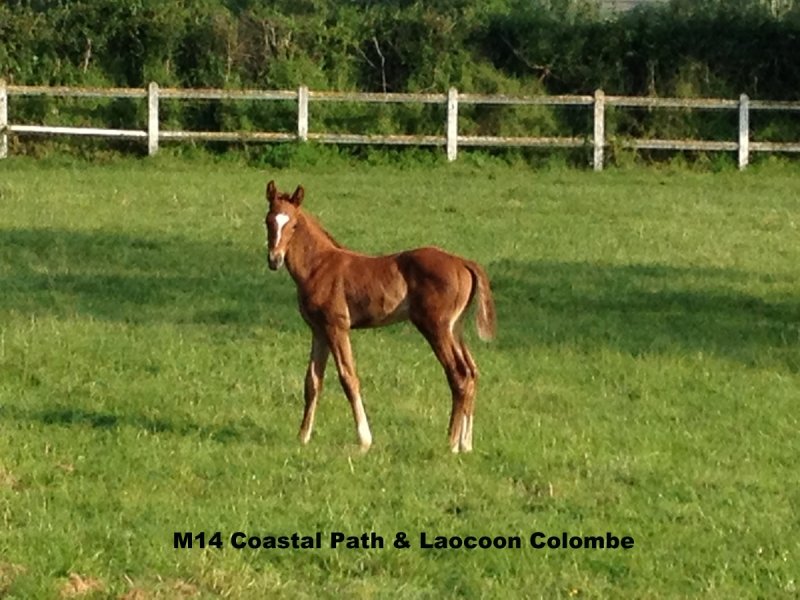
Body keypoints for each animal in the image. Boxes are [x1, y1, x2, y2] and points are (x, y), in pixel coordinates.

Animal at [263, 180, 496, 453]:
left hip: (436, 327)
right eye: (268, 221)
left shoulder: (336, 326)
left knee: (458, 374)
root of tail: (463, 262)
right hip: (454, 328)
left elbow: (348, 377)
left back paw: (450, 443)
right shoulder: (319, 331)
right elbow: (312, 381)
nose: (274, 259)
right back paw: (465, 444)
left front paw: (364, 440)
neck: (318, 266)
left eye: (293, 224)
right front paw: (303, 437)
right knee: (471, 371)